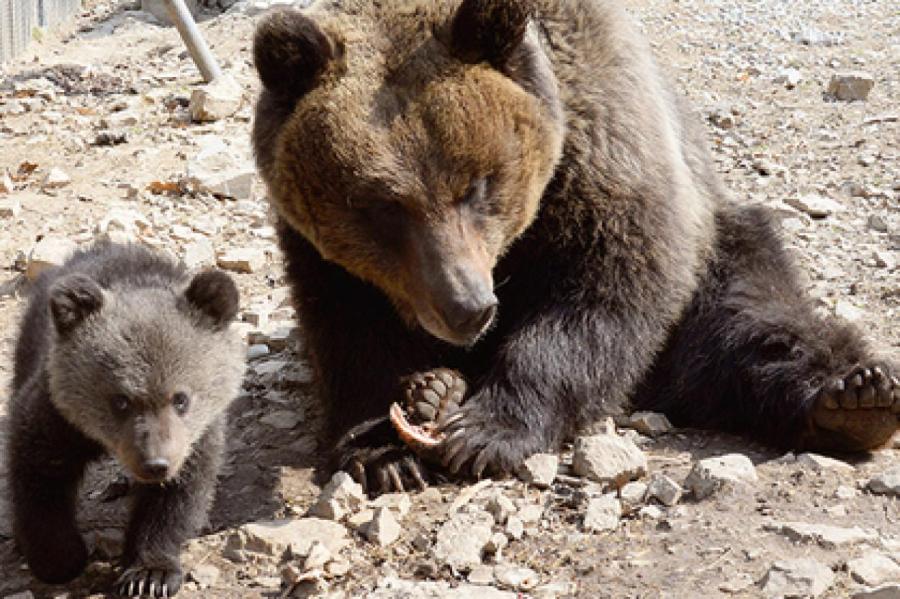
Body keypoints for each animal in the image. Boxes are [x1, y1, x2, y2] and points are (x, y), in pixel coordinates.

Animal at [250, 0, 896, 496]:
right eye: (382, 205)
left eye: (477, 184)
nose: (468, 308)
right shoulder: (329, 259)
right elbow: (349, 334)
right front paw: (383, 450)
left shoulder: (604, 152)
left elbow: (605, 289)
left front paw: (487, 430)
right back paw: (432, 393)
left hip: (718, 254)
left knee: (752, 322)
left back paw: (854, 397)